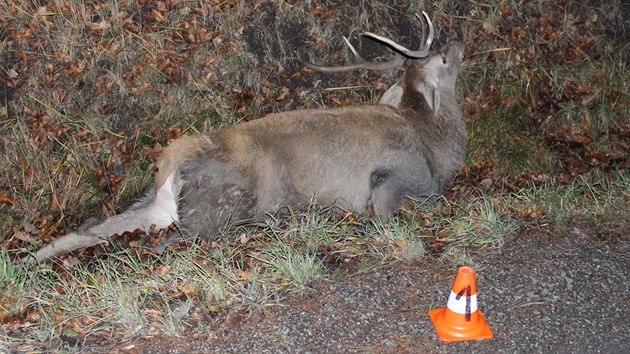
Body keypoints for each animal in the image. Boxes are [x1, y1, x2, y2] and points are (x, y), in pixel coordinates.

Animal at [25, 13, 470, 262]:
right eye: (442, 59)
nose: (460, 41)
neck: (435, 143)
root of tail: (170, 166)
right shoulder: (403, 178)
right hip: (214, 211)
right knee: (167, 243)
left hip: (154, 204)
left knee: (98, 227)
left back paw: (34, 258)